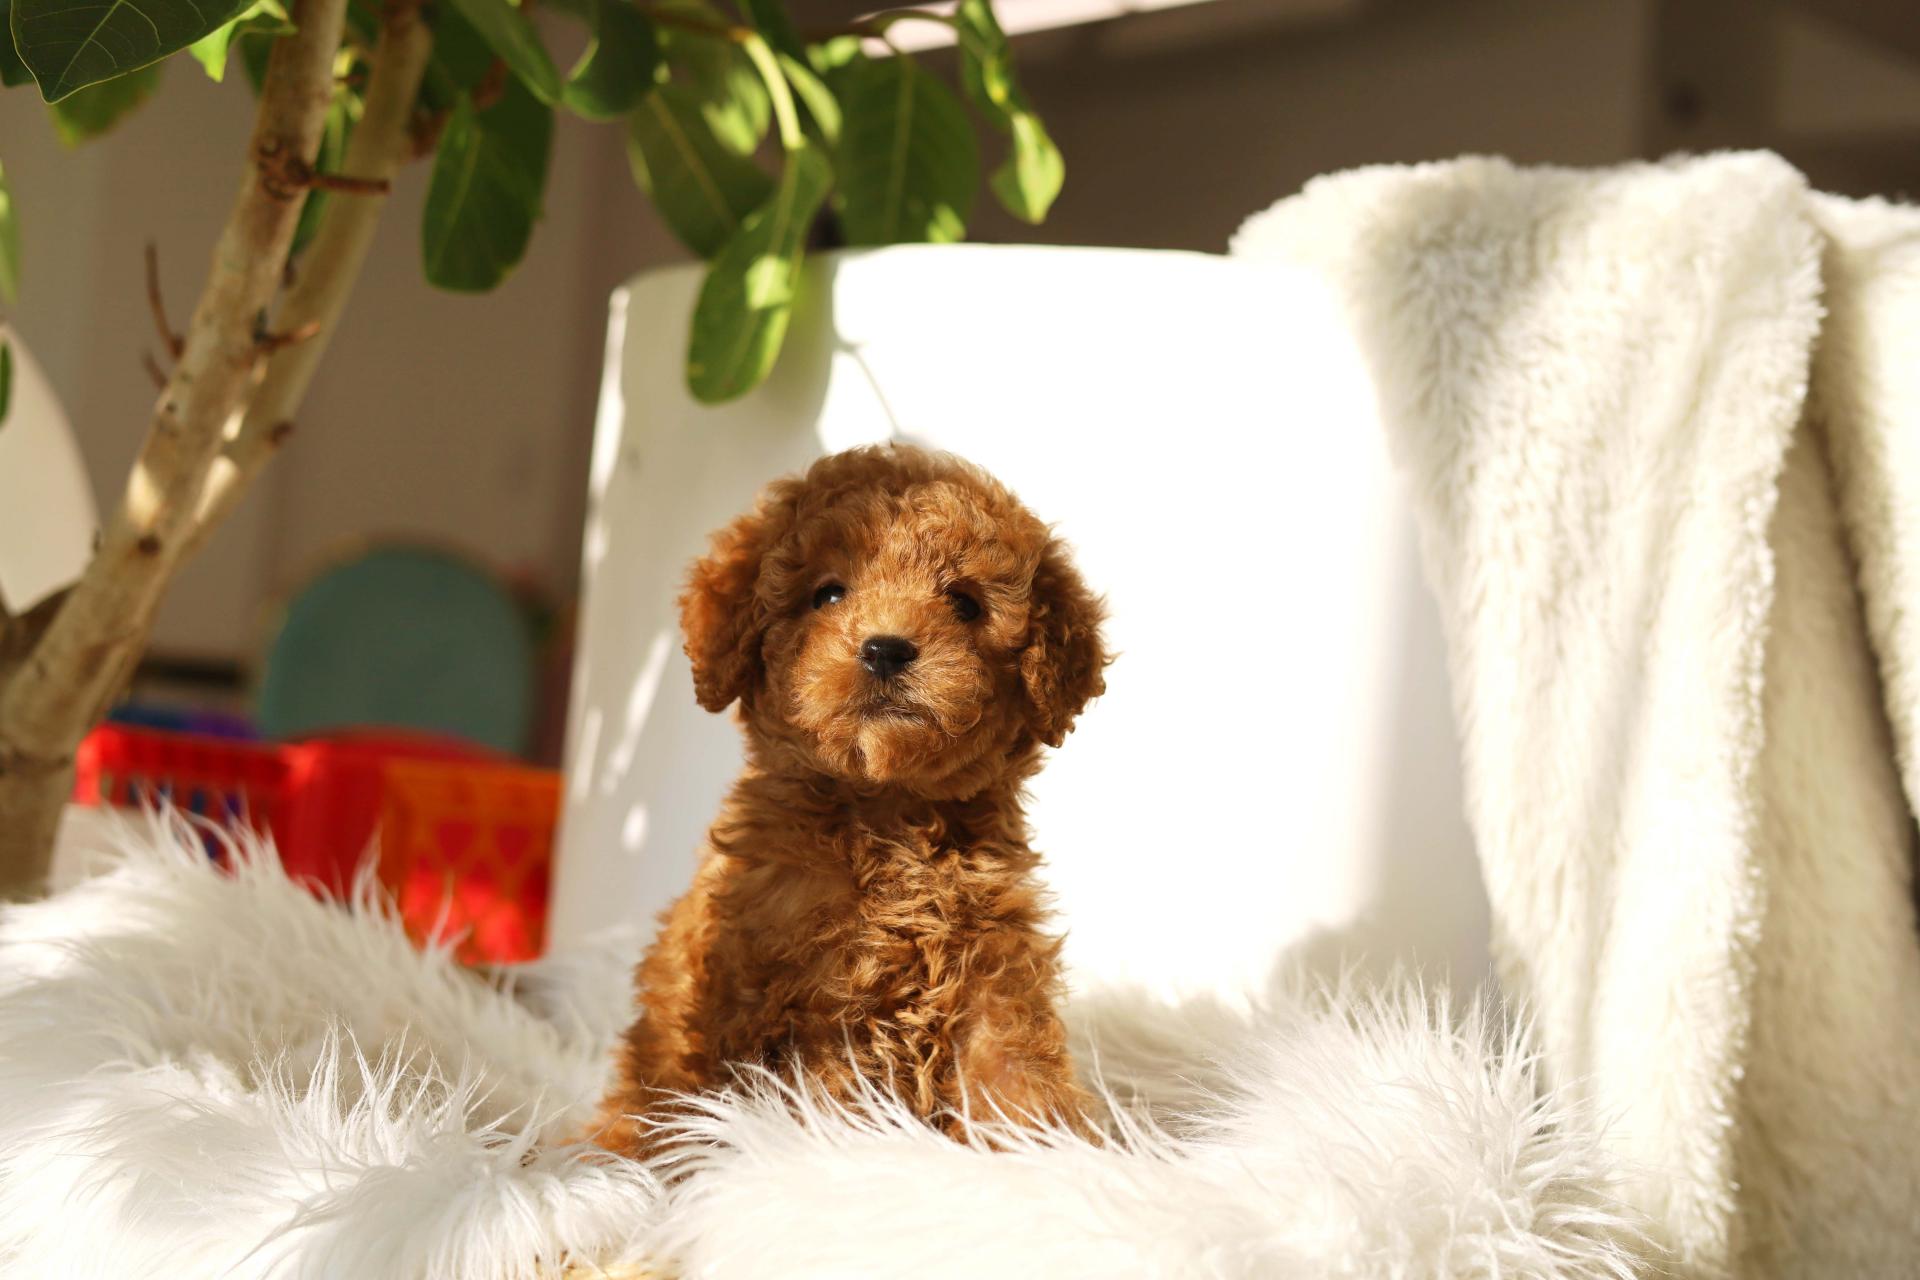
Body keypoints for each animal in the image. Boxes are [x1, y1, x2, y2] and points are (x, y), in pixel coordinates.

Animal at [595, 444, 1109, 1154]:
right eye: (828, 593)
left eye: (965, 603)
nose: (886, 649)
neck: (886, 811)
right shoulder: (812, 1005)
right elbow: (836, 1092)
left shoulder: (991, 970)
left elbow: (1012, 1071)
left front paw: (1047, 1152)